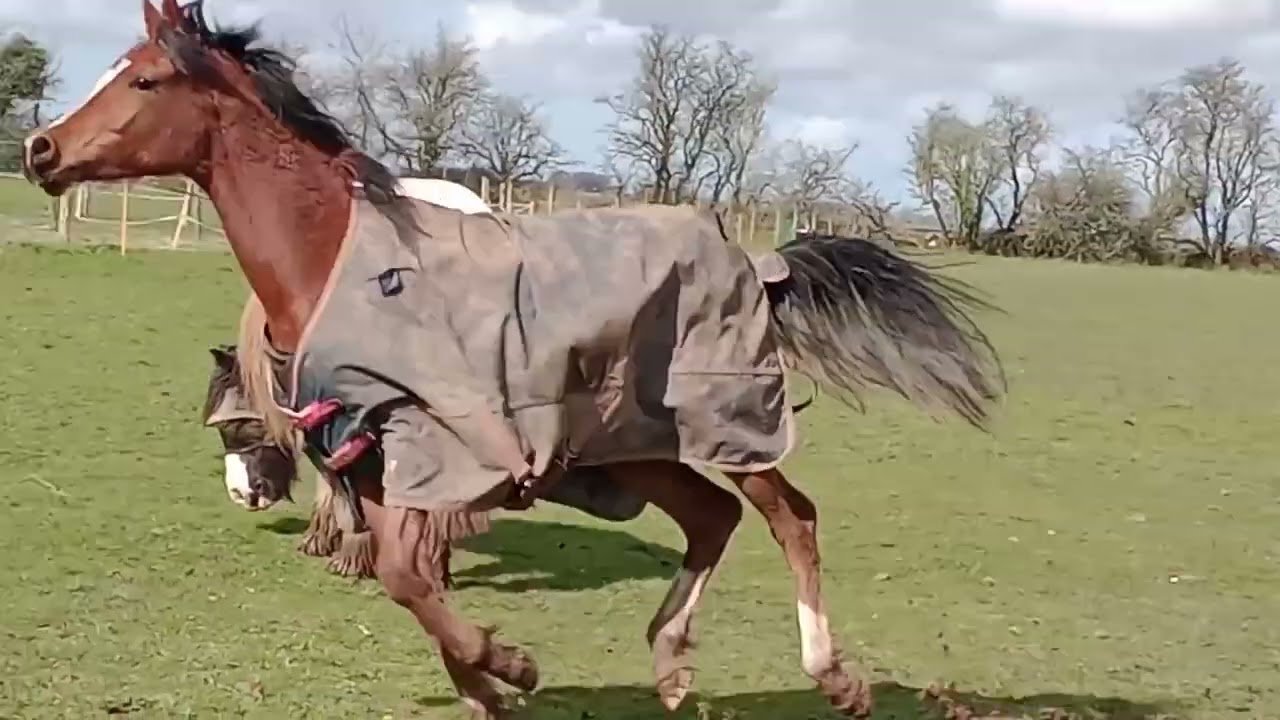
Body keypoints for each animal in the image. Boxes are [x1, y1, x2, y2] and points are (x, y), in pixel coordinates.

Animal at [21, 2, 1004, 717]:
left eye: (144, 78)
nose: (39, 148)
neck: (351, 266)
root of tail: (757, 263)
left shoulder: (439, 461)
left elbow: (412, 579)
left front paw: (512, 665)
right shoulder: (377, 468)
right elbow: (409, 587)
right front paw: (488, 684)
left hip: (722, 425)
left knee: (789, 517)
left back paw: (832, 675)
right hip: (635, 450)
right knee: (712, 520)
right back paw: (671, 662)